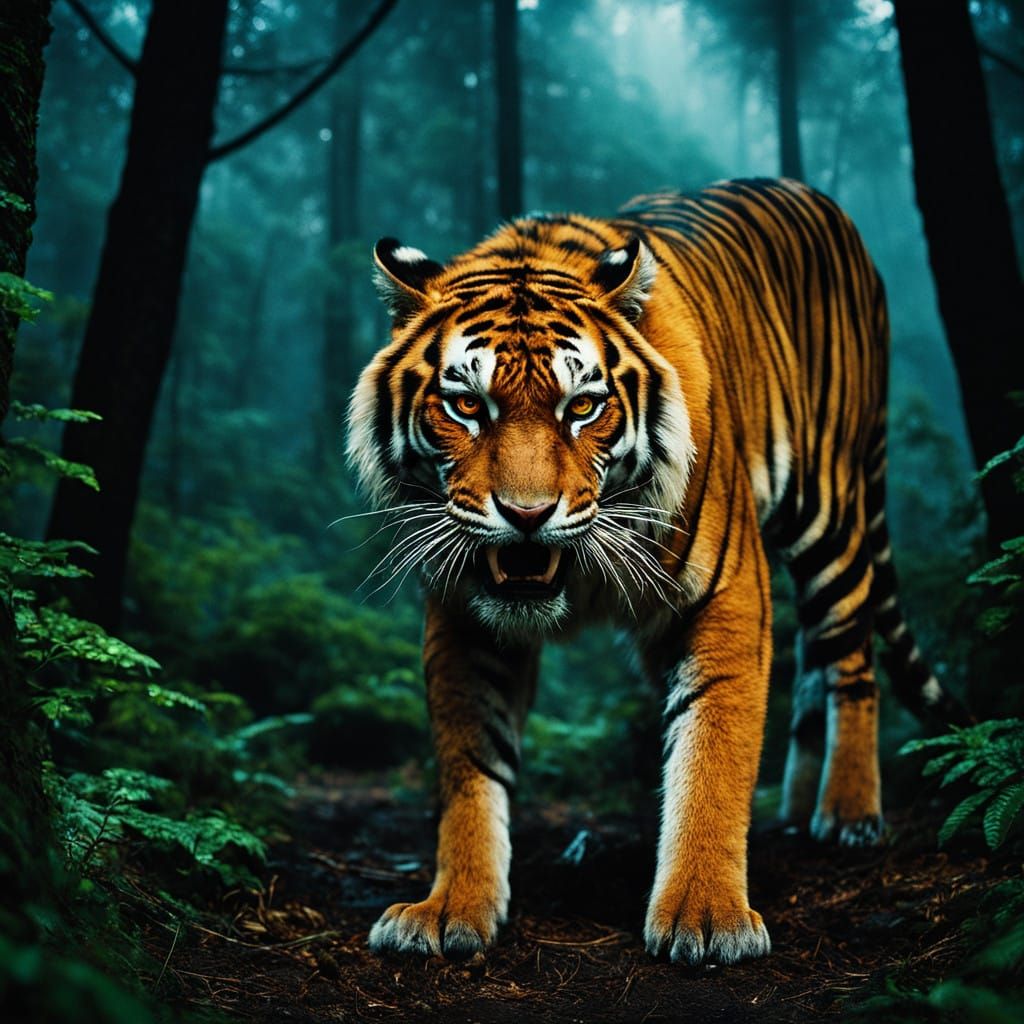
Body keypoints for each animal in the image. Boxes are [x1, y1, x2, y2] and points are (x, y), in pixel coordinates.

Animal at [346, 178, 963, 966]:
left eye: (582, 406)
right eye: (465, 405)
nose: (526, 514)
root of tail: (819, 198)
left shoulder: (727, 595)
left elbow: (714, 752)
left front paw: (705, 915)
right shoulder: (464, 620)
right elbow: (469, 763)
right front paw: (454, 905)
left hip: (832, 506)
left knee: (850, 654)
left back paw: (847, 812)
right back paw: (797, 805)